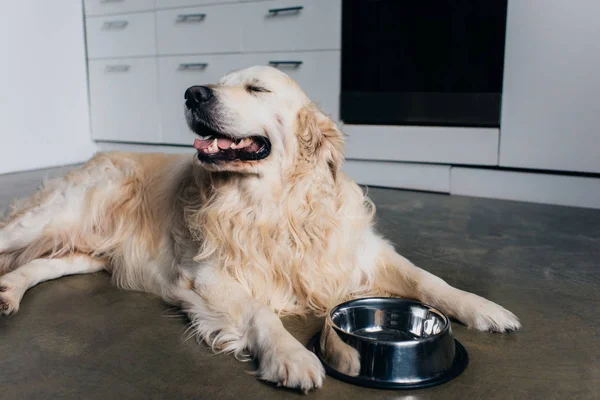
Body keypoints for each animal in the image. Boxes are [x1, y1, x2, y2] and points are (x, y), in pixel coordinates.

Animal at [0, 65, 520, 390]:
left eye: (256, 89)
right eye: (215, 83)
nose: (192, 93)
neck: (272, 206)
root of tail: (98, 154)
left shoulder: (363, 253)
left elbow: (428, 280)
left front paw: (484, 308)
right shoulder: (208, 278)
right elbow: (260, 312)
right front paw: (291, 357)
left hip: (89, 251)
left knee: (43, 265)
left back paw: (8, 290)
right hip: (54, 216)